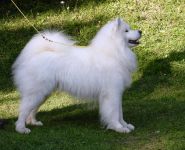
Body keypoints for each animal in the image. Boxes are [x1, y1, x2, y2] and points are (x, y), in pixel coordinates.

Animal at [12, 17, 142, 134]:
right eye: (126, 31)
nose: (140, 31)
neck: (114, 52)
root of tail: (34, 56)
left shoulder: (117, 92)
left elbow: (120, 113)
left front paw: (125, 125)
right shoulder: (112, 93)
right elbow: (114, 113)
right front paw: (118, 128)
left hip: (43, 93)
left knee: (32, 110)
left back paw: (33, 122)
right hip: (37, 92)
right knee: (23, 110)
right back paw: (21, 129)